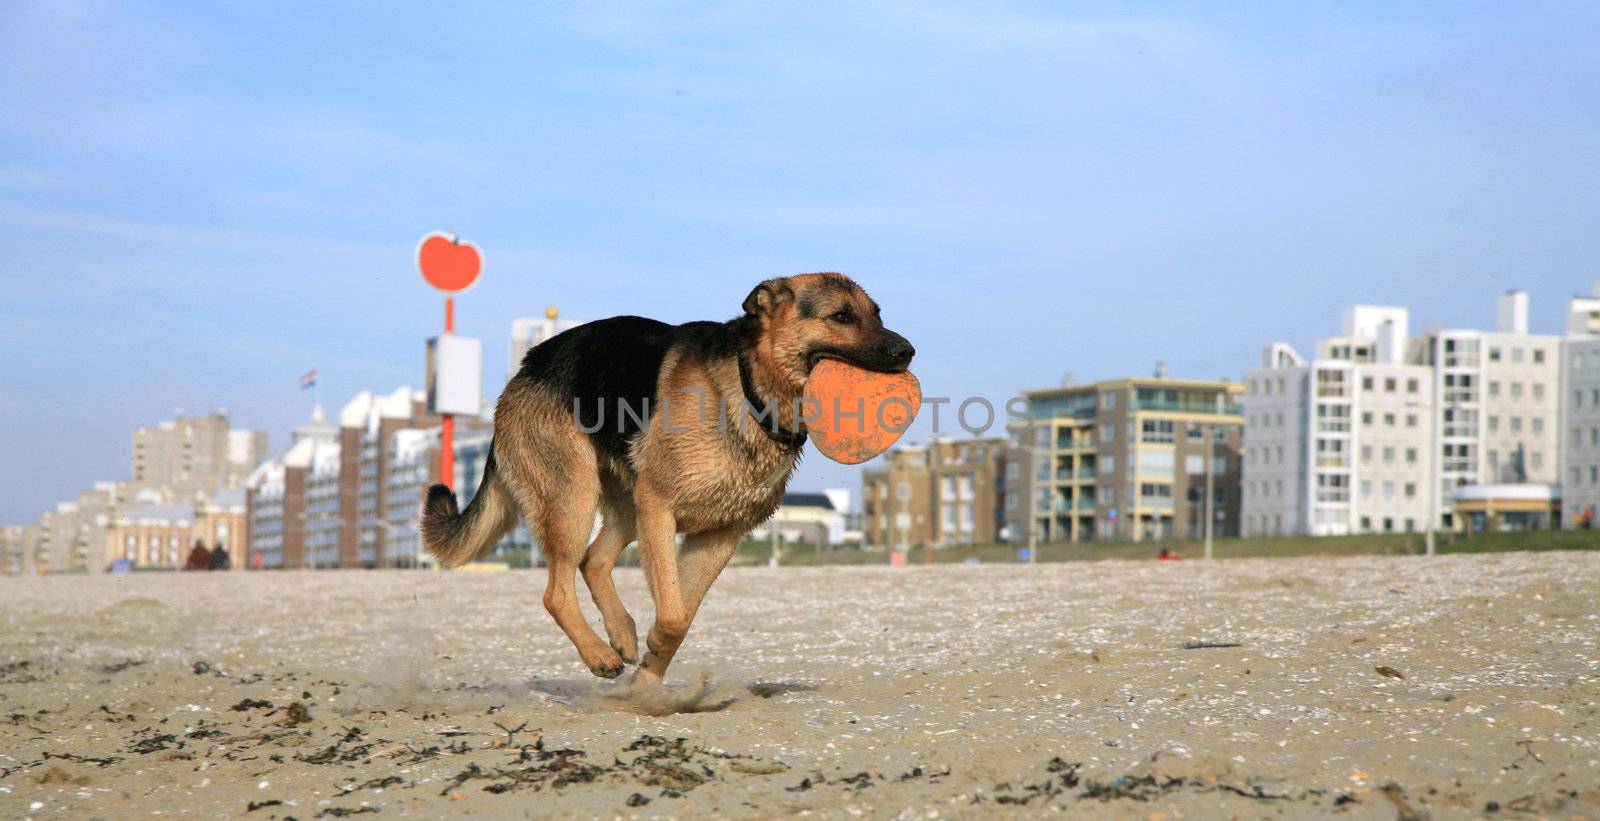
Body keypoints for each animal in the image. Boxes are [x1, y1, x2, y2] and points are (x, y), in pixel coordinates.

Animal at [419, 273, 915, 684]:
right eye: (842, 317)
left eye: (877, 314)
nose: (908, 352)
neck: (749, 389)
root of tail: (525, 368)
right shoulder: (660, 508)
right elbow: (675, 615)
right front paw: (656, 649)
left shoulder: (719, 535)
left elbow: (683, 613)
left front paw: (649, 679)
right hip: (575, 497)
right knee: (557, 591)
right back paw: (599, 654)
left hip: (623, 502)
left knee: (593, 560)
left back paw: (622, 632)